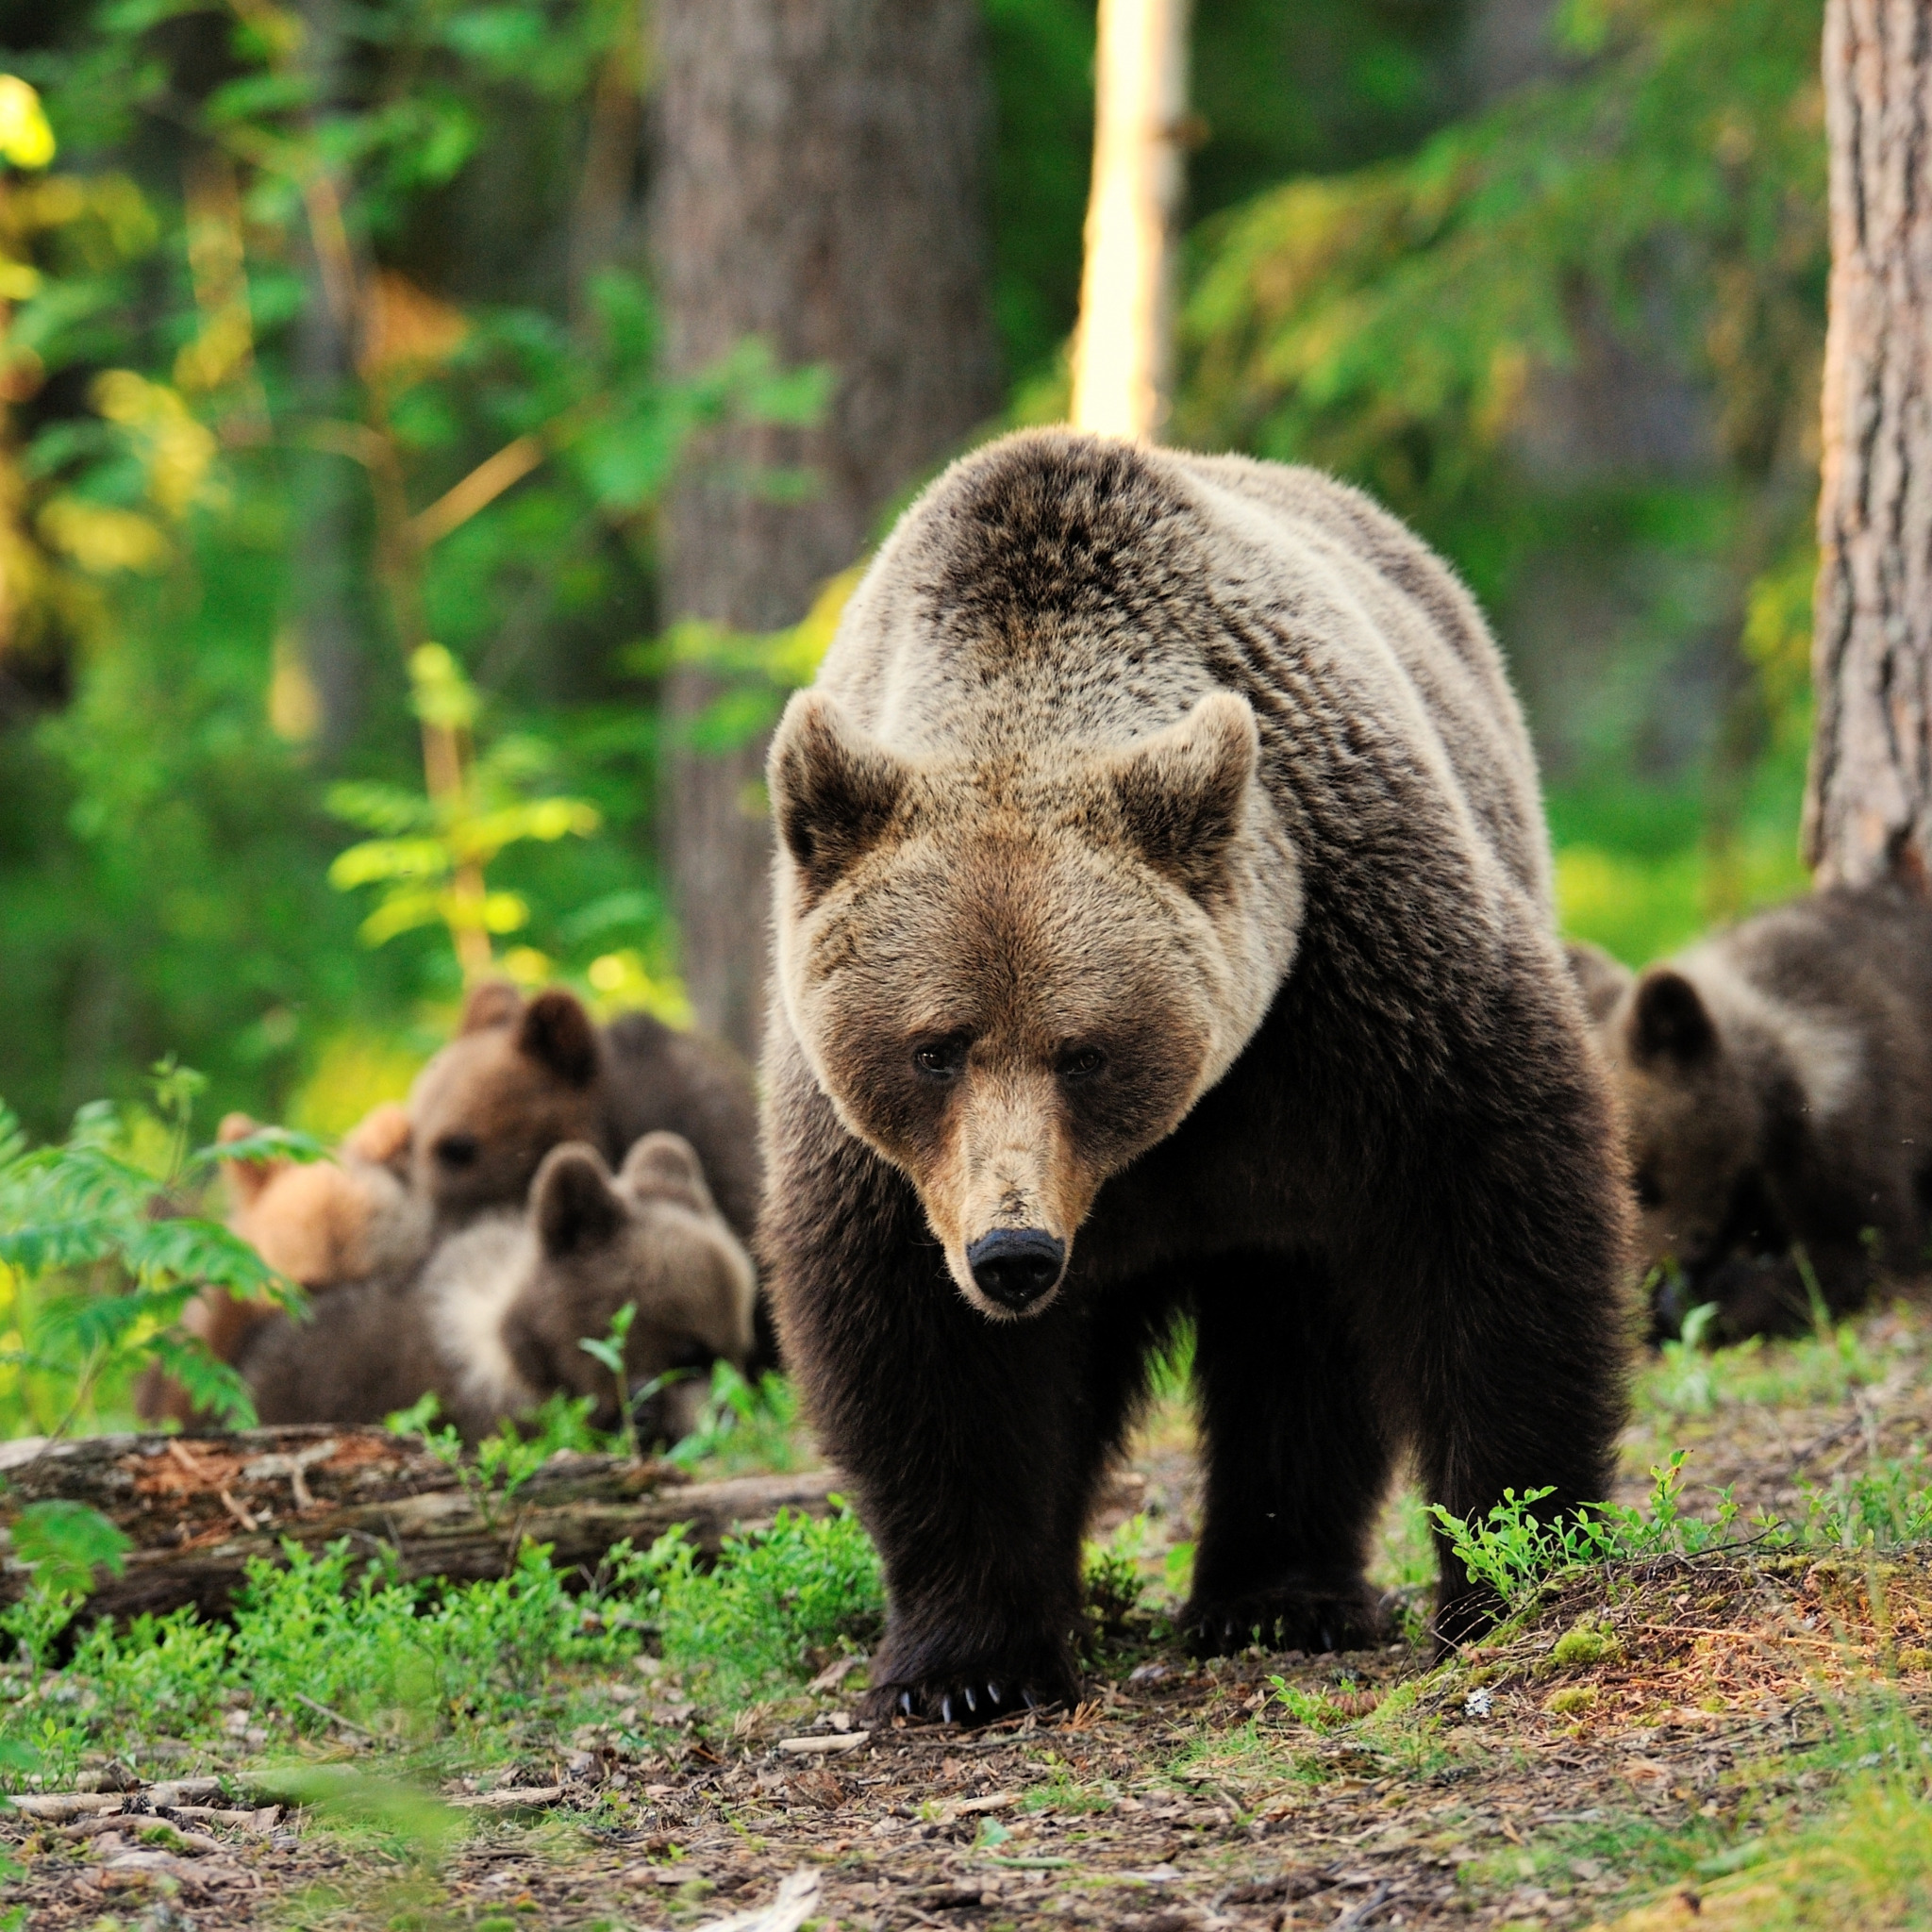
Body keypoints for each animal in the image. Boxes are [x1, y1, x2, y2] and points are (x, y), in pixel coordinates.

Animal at [753, 434, 1630, 1723]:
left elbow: (1490, 1224)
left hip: (1301, 1173)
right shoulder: (879, 1151)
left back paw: (1275, 1595)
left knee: (1297, 1339)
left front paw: (1513, 1562)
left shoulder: (1359, 986)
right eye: (934, 1045)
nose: (1014, 1253)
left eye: (1083, 1049)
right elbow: (922, 1351)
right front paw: (967, 1662)